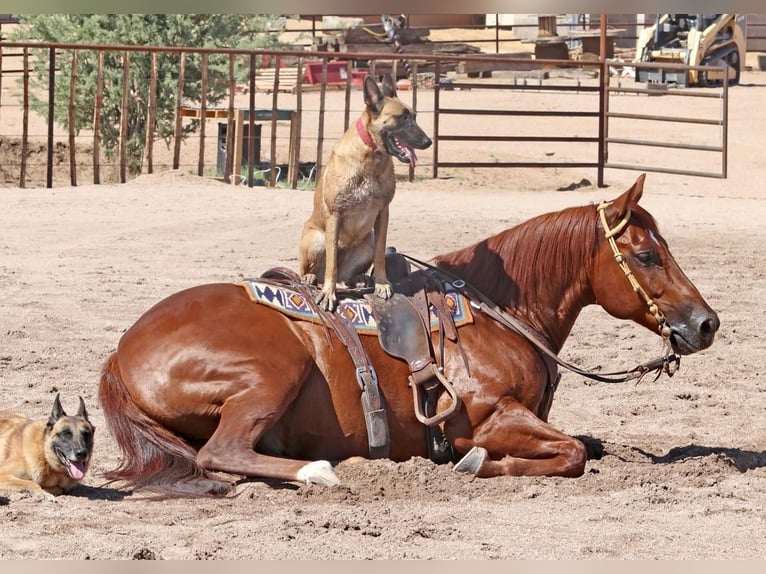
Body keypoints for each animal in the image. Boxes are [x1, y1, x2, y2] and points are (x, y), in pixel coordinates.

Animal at [97, 174, 720, 496]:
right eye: (646, 255)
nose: (706, 322)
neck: (498, 312)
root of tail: (122, 352)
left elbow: (587, 444)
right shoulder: (489, 418)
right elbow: (570, 453)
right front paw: (476, 465)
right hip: (275, 372)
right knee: (220, 454)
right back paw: (323, 470)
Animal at [298, 75, 432, 316]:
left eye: (414, 116)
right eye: (402, 118)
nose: (428, 141)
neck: (370, 157)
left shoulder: (383, 213)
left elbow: (380, 255)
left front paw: (381, 283)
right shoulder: (335, 215)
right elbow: (332, 262)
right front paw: (328, 293)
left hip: (367, 240)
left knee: (346, 275)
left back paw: (359, 279)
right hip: (317, 238)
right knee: (314, 269)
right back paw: (311, 277)